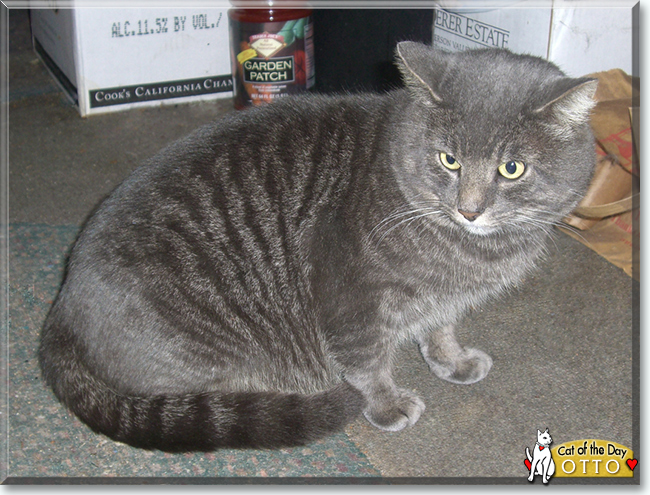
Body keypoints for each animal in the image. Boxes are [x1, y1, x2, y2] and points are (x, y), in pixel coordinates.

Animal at [40, 43, 596, 454]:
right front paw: (387, 404)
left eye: (512, 169)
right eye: (449, 160)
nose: (470, 209)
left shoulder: (444, 298)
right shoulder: (352, 301)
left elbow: (441, 328)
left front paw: (451, 360)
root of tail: (60, 312)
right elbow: (369, 364)